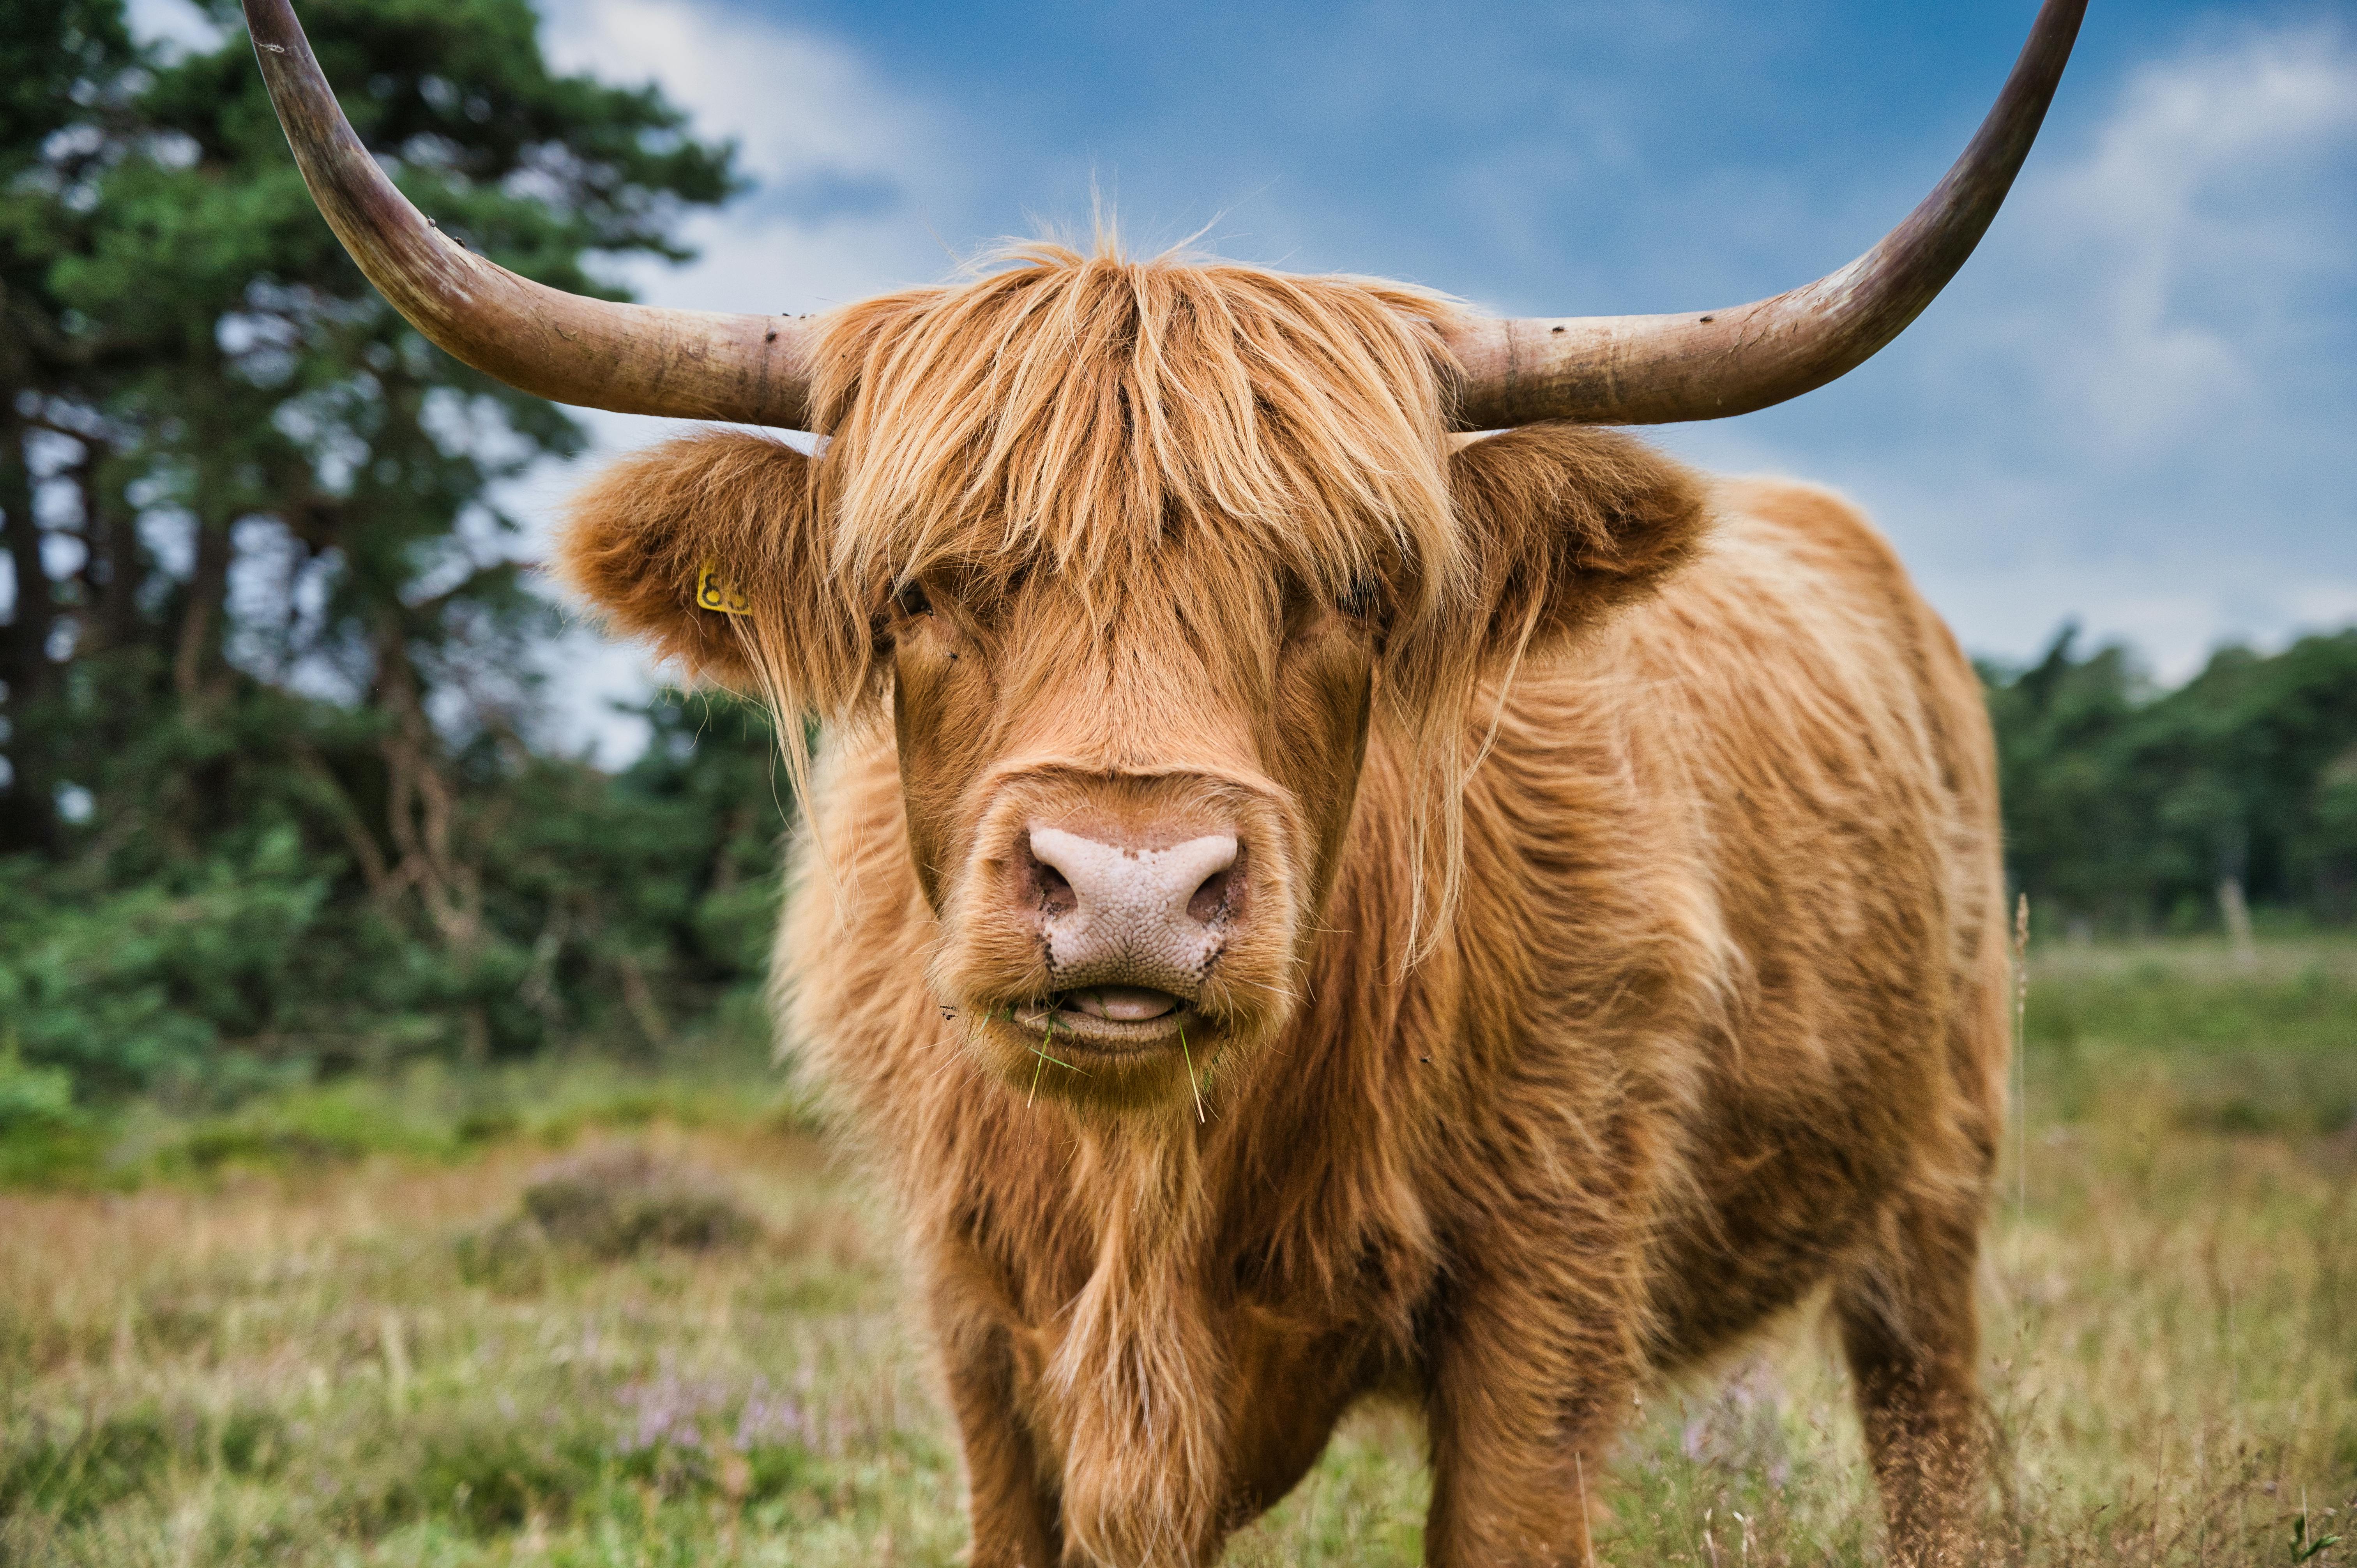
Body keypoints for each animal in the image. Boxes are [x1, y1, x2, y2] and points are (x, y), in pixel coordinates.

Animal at [242, 1, 2087, 1562]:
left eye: (1358, 587)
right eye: (914, 589)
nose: (1129, 890)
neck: (1161, 1183)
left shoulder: (1548, 1292)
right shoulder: (985, 1333)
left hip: (1935, 1179)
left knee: (1926, 1415)